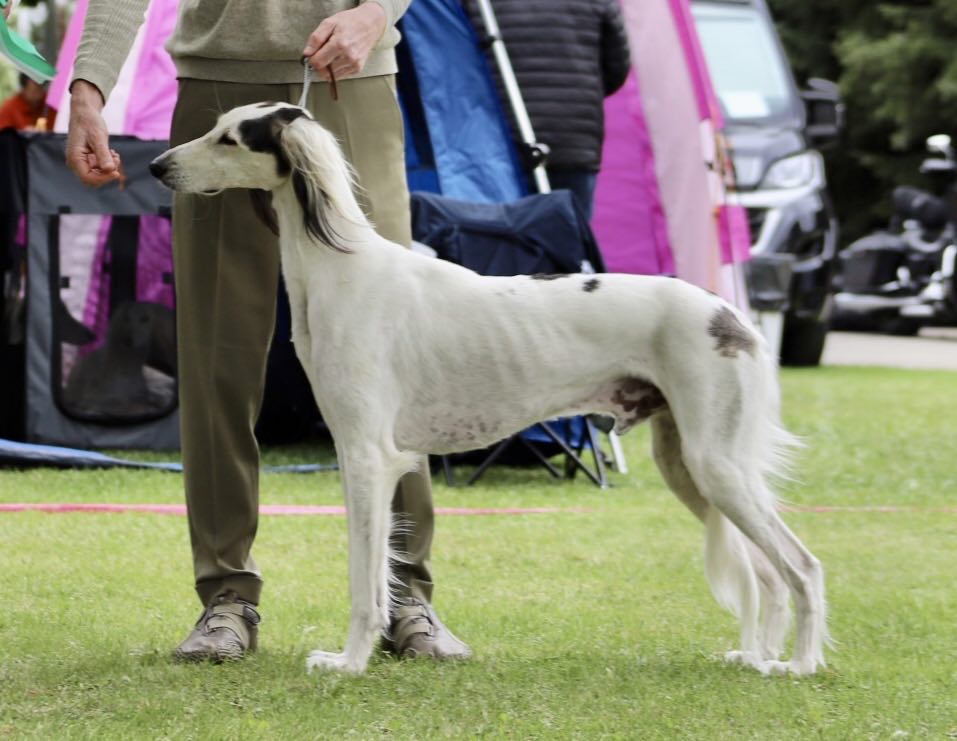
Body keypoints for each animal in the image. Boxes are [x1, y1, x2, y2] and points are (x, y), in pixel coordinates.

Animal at [151, 101, 828, 672]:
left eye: (231, 138)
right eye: (217, 127)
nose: (159, 166)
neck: (339, 267)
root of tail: (731, 313)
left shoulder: (369, 458)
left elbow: (364, 581)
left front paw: (348, 663)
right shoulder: (358, 455)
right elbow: (374, 570)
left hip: (717, 466)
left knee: (803, 565)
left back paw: (799, 665)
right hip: (688, 465)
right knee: (769, 575)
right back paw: (758, 659)